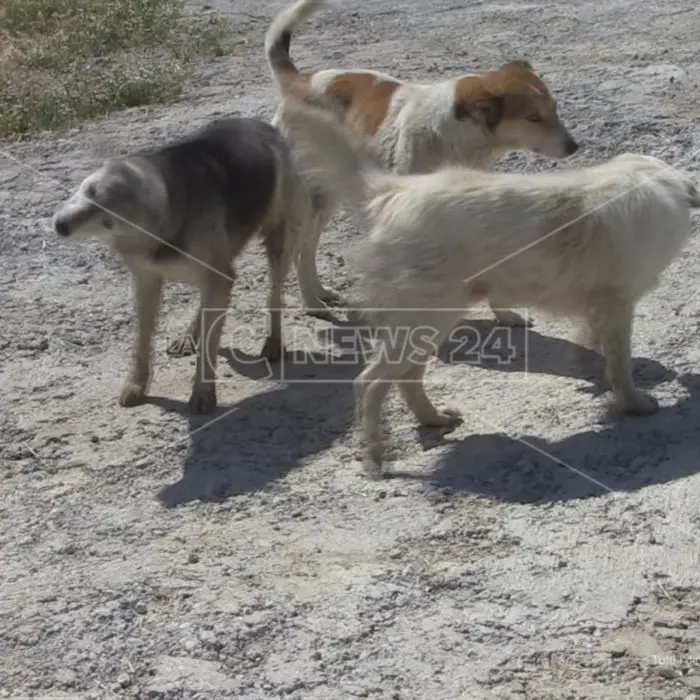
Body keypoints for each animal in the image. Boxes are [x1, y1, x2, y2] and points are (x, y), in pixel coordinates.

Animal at [52, 117, 308, 412]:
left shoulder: (214, 277)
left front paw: (203, 392)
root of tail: (263, 125)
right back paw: (190, 335)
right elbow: (142, 340)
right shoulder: (147, 281)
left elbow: (208, 346)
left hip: (278, 242)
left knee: (273, 295)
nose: (60, 226)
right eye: (90, 192)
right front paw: (136, 385)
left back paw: (273, 341)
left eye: (108, 221)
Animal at [264, 0, 580, 322]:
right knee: (301, 248)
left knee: (308, 246)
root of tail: (300, 81)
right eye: (533, 118)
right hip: (309, 200)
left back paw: (320, 292)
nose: (574, 146)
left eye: (555, 108)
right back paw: (311, 302)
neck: (454, 137)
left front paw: (504, 314)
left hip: (328, 193)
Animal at [280, 98, 700, 478]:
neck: (651, 179)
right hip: (426, 320)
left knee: (406, 379)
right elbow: (621, 367)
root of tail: (392, 192)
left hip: (429, 322)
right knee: (368, 384)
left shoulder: (600, 305)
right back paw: (374, 460)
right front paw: (635, 405)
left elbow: (590, 341)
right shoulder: (619, 306)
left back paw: (433, 419)